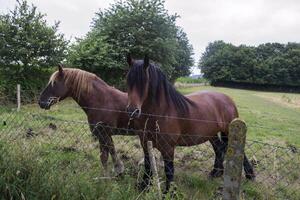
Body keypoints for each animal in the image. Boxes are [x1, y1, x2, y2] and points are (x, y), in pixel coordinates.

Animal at [125, 55, 254, 193]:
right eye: (128, 79)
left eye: (145, 81)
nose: (132, 111)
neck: (161, 113)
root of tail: (228, 99)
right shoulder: (145, 144)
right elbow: (148, 165)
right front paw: (143, 187)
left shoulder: (168, 148)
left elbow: (169, 170)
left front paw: (169, 192)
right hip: (211, 134)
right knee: (219, 148)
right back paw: (215, 173)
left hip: (229, 132)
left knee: (240, 152)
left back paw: (250, 175)